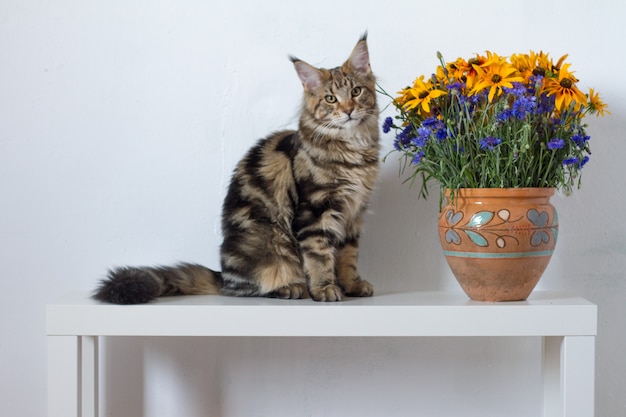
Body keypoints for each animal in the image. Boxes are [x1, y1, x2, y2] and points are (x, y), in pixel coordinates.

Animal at [91, 34, 376, 302]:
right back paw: (290, 287)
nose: (348, 110)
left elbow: (347, 258)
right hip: (269, 244)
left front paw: (351, 285)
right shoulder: (315, 211)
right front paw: (325, 288)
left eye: (356, 92)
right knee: (251, 288)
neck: (353, 150)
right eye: (330, 99)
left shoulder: (353, 214)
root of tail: (222, 275)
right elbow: (320, 257)